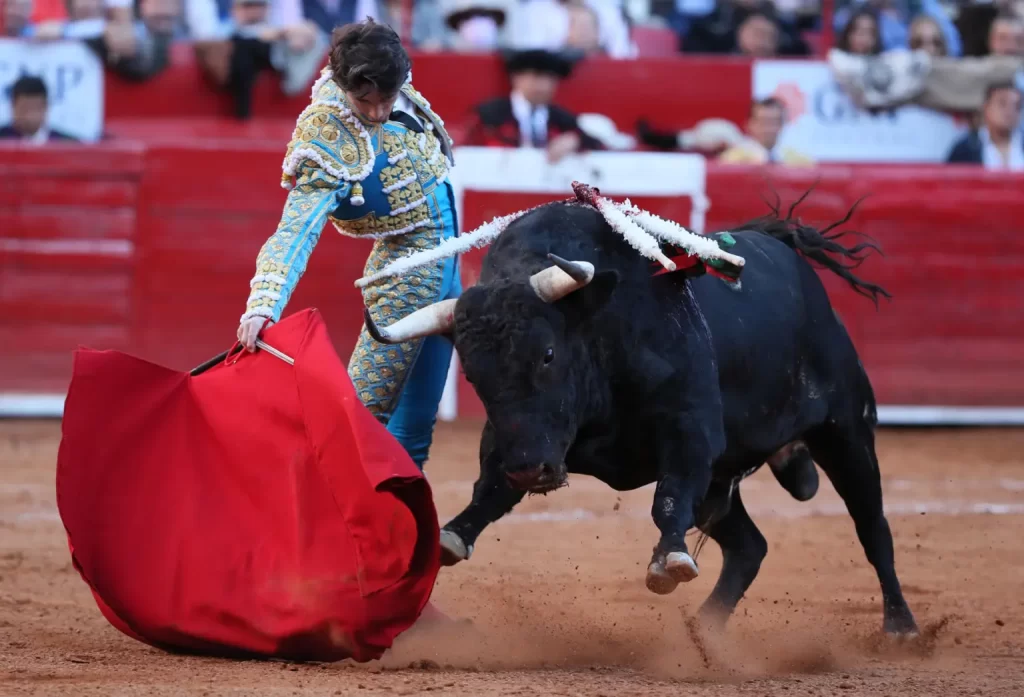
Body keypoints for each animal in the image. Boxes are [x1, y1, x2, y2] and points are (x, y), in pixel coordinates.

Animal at [366, 199, 921, 634]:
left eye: (547, 354)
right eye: (473, 375)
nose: (531, 471)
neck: (598, 329)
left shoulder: (690, 431)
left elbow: (668, 500)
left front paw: (668, 561)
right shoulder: (516, 440)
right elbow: (489, 489)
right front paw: (450, 536)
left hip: (845, 431)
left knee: (873, 528)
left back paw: (901, 627)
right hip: (723, 484)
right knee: (750, 548)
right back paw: (704, 636)